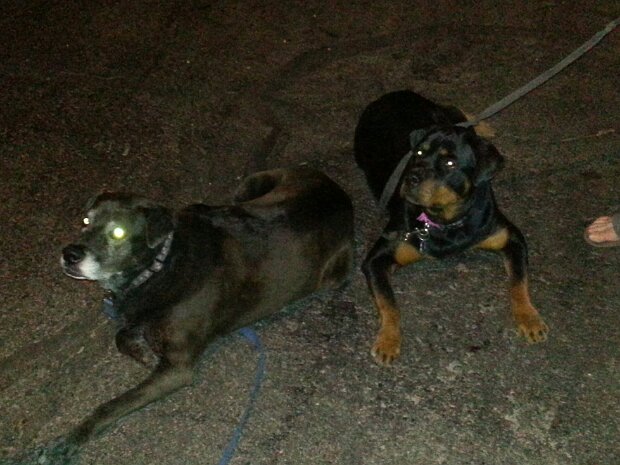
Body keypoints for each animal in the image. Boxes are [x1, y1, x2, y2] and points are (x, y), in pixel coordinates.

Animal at [55, 167, 354, 459]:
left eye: (118, 232)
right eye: (85, 221)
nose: (69, 254)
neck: (161, 267)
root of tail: (336, 190)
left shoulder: (177, 368)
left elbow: (113, 404)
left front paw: (69, 441)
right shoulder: (142, 314)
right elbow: (122, 335)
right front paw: (144, 352)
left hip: (332, 276)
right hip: (244, 190)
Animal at [354, 89, 548, 365]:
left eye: (449, 164)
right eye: (418, 154)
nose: (410, 178)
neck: (445, 220)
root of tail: (393, 93)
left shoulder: (511, 237)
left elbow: (519, 282)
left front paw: (529, 317)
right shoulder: (376, 259)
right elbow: (389, 303)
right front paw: (388, 339)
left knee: (459, 116)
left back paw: (482, 125)